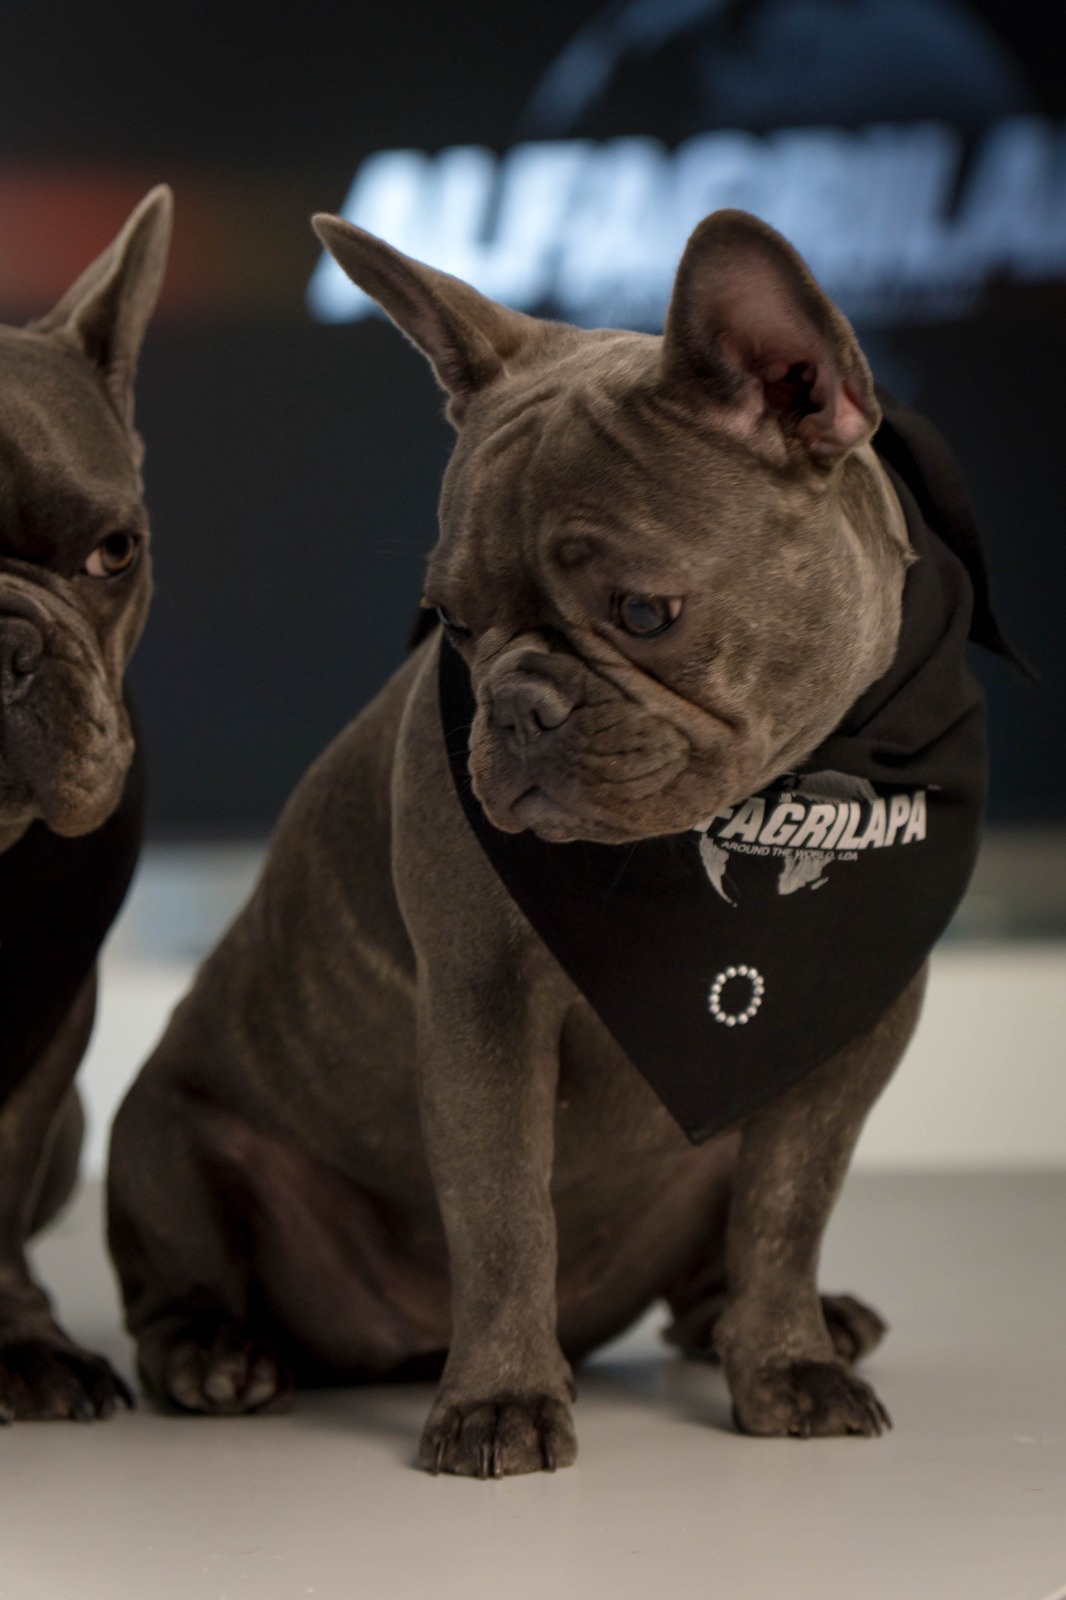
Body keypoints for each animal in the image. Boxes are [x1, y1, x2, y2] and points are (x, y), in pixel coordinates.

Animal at [108, 207, 1001, 1473]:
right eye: (452, 622)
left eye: (644, 612)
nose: (516, 704)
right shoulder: (484, 1007)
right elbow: (502, 1213)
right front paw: (499, 1399)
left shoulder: (849, 1034)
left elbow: (787, 1206)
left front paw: (786, 1360)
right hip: (165, 1142)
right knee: (174, 1284)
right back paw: (215, 1356)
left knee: (716, 1259)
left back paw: (790, 1320)